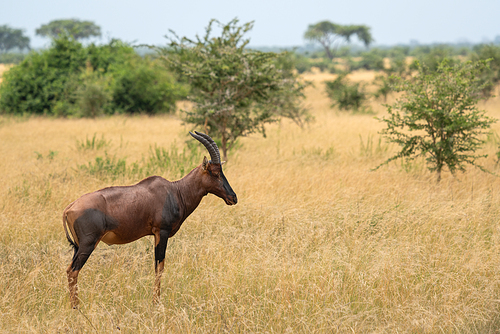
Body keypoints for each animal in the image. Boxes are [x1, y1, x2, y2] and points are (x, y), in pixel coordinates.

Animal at [62, 131, 236, 308]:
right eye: (215, 173)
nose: (233, 197)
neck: (175, 191)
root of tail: (69, 208)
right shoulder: (162, 232)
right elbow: (159, 267)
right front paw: (156, 303)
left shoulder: (155, 235)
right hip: (88, 243)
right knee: (72, 270)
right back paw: (76, 307)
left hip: (78, 246)